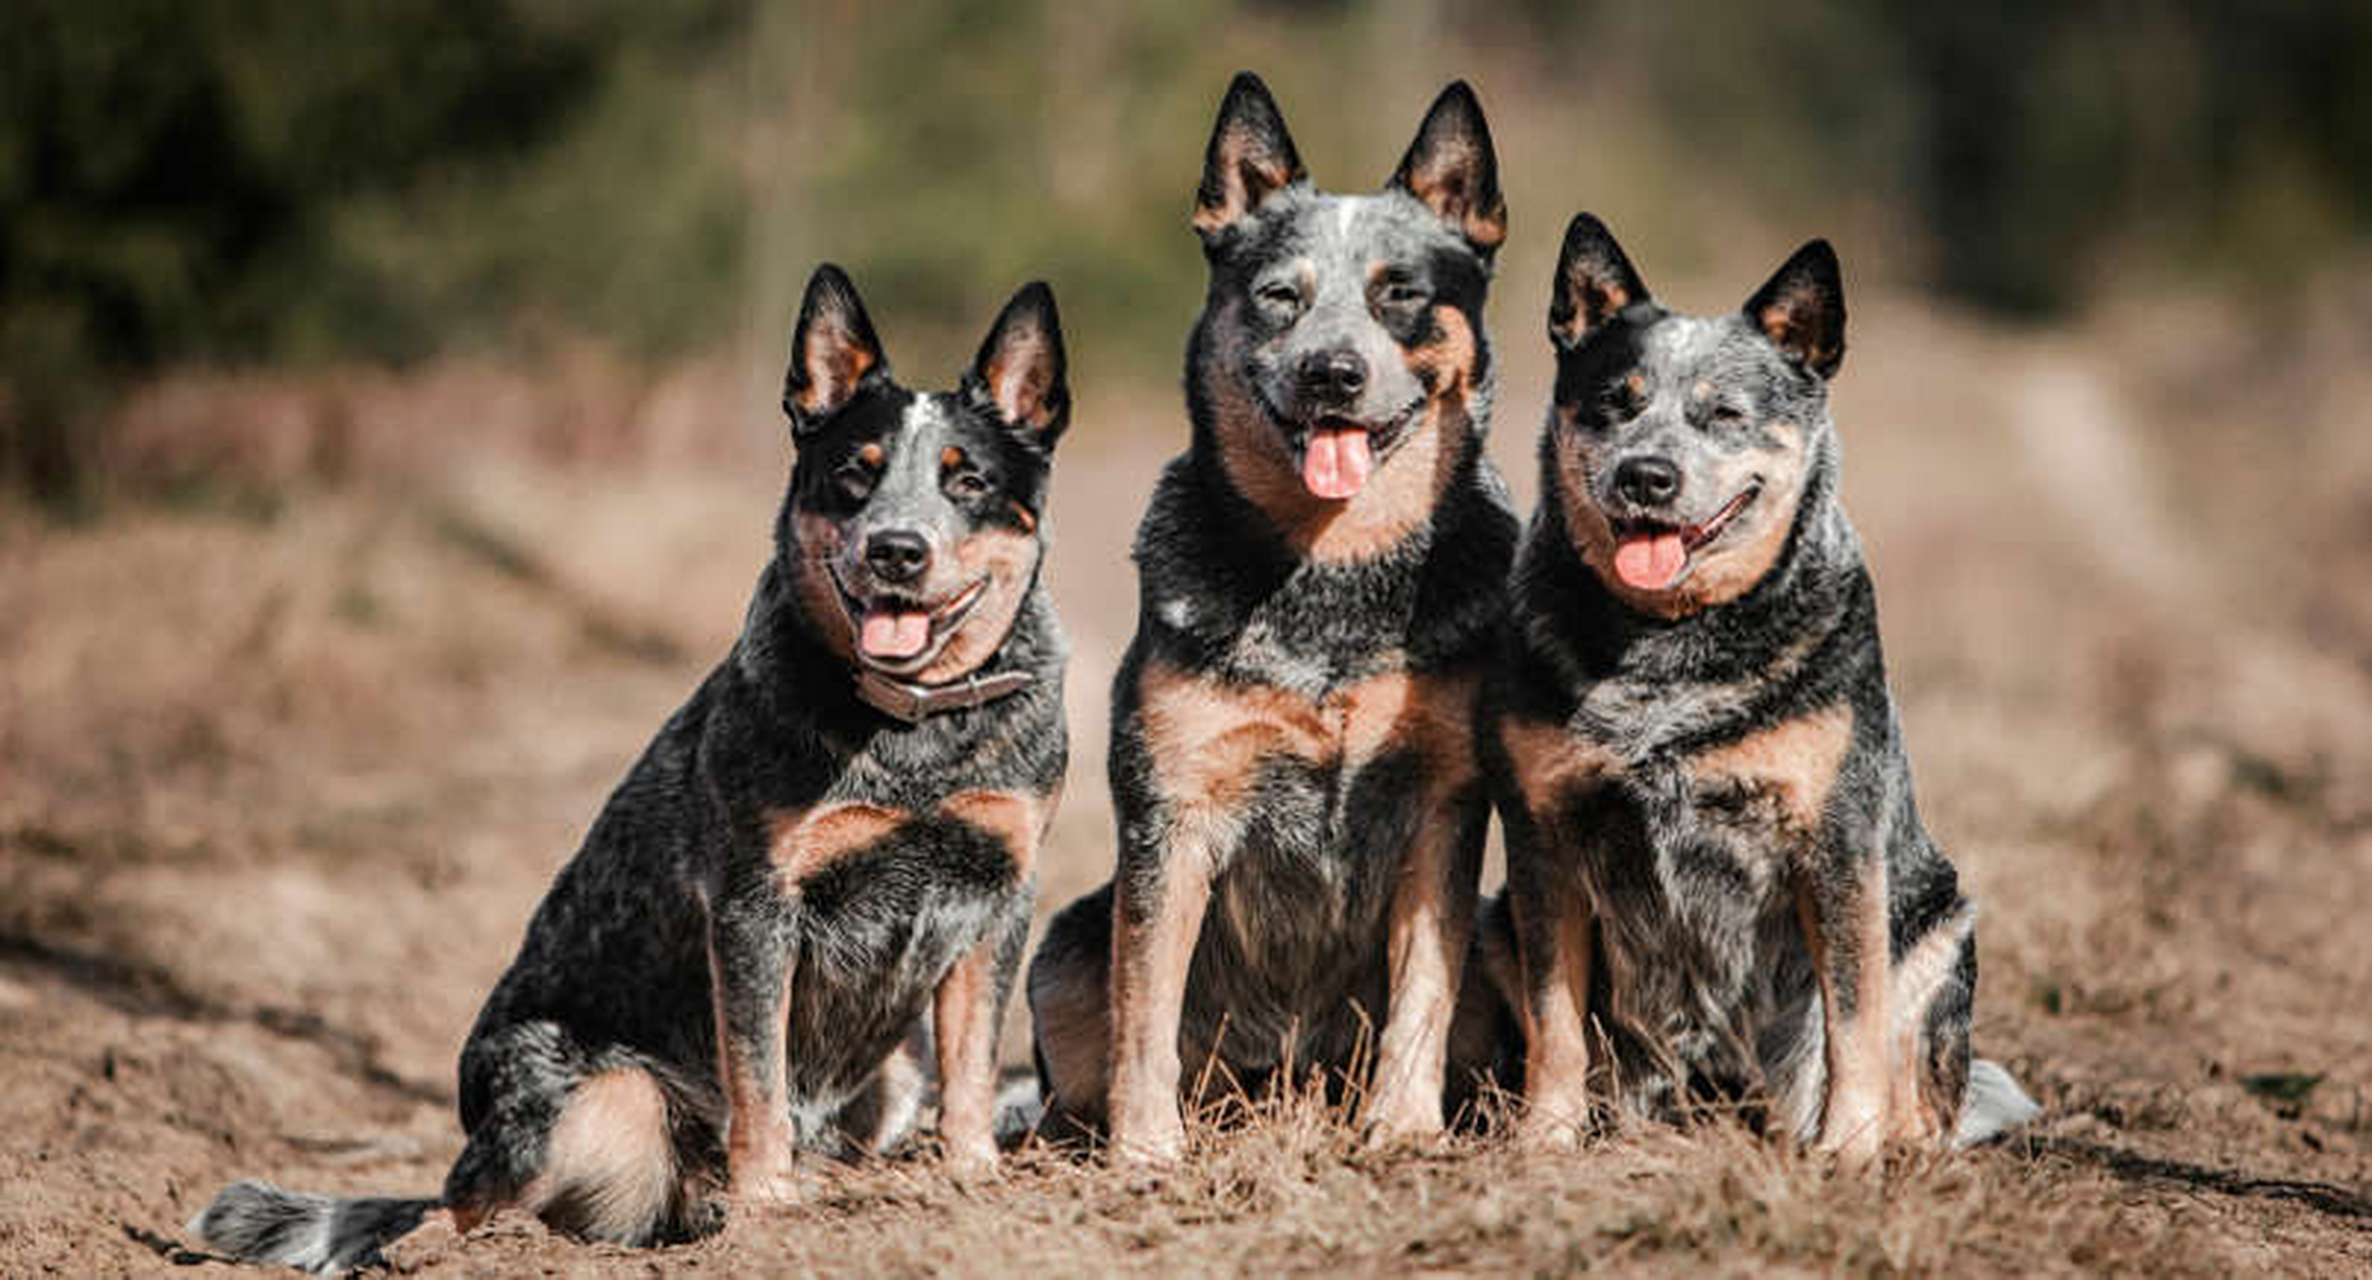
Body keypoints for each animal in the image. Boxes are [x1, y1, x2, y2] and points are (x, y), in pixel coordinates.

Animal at [194, 261, 1076, 1270]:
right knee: (463, 1208)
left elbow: (974, 1064)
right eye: (855, 472)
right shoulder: (755, 908)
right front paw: (768, 1208)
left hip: (894, 1073)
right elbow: (759, 1082)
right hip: (597, 1090)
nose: (897, 548)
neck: (915, 734)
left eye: (967, 480)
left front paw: (973, 1182)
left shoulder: (999, 896)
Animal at [1024, 74, 1518, 1166]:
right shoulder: (1172, 815)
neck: (1328, 580)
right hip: (1064, 946)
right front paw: (1146, 1149)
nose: (1332, 371)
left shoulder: (1441, 810)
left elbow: (1422, 992)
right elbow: (1145, 1007)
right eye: (1279, 296)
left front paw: (1401, 1127)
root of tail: (1285, 1076)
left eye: (1398, 292)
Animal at [1470, 214, 2030, 1156]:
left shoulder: (1837, 844)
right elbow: (1555, 1018)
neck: (1668, 645)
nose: (1646, 475)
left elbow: (1852, 1018)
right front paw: (1544, 1137)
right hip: (1493, 920)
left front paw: (1847, 1149)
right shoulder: (1544, 839)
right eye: (1616, 401)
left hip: (1941, 922)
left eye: (1724, 413)